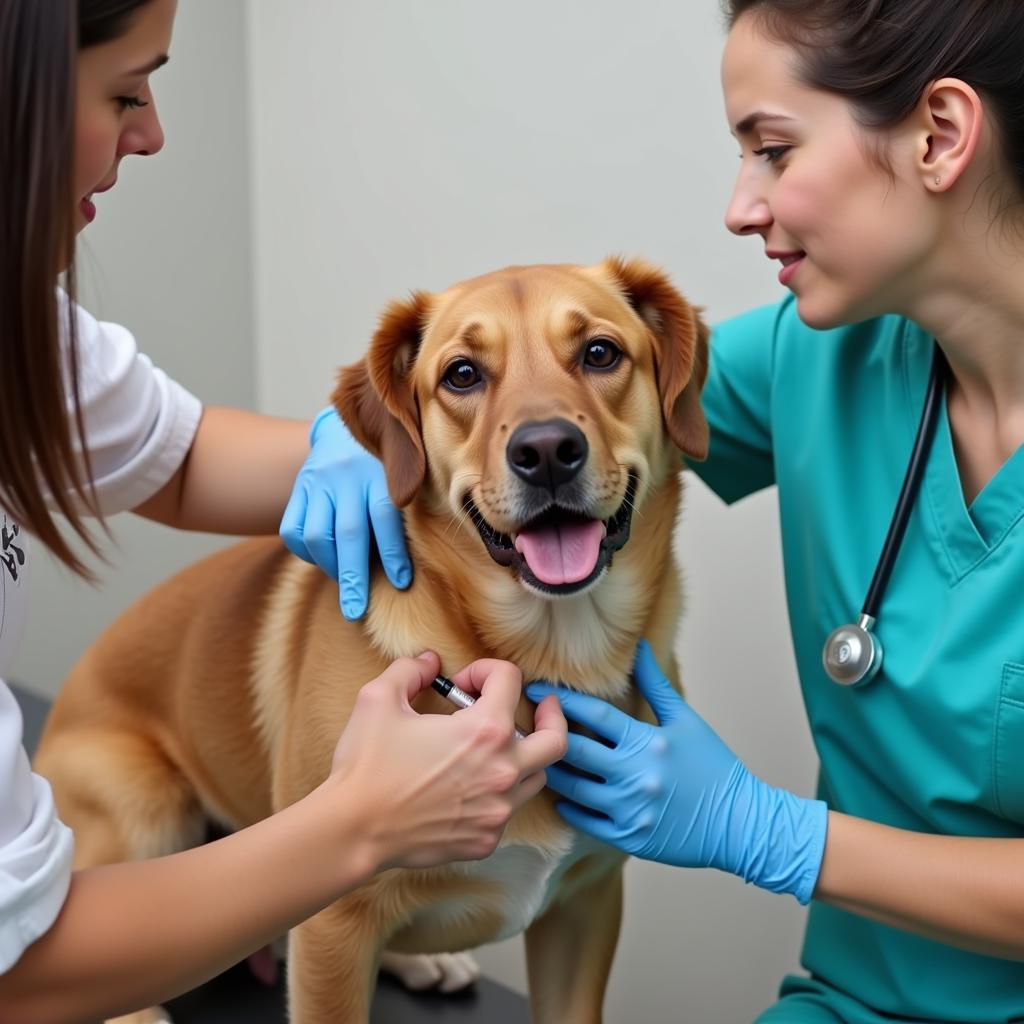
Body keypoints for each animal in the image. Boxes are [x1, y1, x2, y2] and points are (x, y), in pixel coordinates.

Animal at [34, 256, 704, 1024]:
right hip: (146, 803)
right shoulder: (332, 924)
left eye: (599, 353)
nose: (545, 451)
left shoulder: (586, 906)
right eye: (462, 374)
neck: (555, 650)